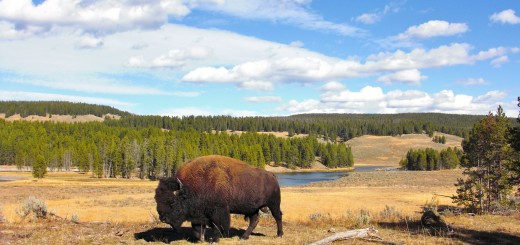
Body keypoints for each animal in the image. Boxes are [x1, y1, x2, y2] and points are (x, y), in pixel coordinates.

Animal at [155, 155, 284, 241]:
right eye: (156, 199)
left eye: (172, 202)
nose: (163, 218)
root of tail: (271, 175)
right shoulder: (199, 213)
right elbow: (197, 228)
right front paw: (201, 239)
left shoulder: (218, 211)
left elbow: (217, 226)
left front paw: (216, 239)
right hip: (252, 208)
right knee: (254, 220)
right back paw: (243, 237)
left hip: (274, 203)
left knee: (277, 216)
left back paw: (279, 234)